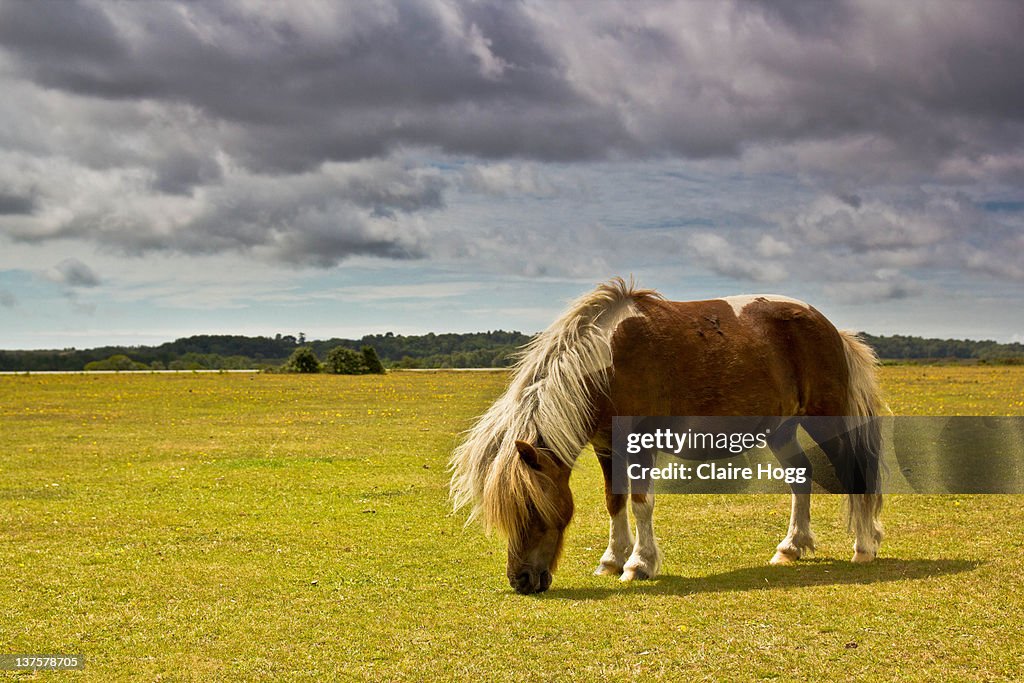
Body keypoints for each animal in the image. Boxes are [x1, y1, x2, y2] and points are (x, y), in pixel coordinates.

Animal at [452, 278, 884, 593]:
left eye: (531, 509)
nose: (522, 581)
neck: (609, 360)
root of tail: (830, 327)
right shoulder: (606, 448)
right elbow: (614, 501)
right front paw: (611, 560)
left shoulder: (639, 444)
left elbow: (641, 502)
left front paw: (639, 564)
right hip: (781, 429)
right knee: (800, 478)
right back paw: (791, 548)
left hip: (826, 420)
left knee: (854, 473)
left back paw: (864, 547)